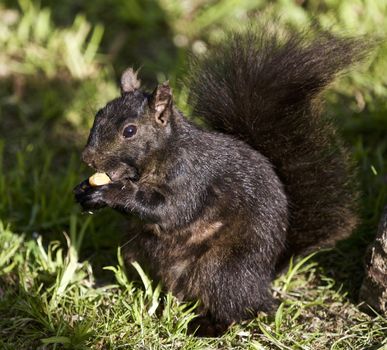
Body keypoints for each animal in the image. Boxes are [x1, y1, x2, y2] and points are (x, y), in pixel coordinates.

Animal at [74, 26, 368, 334]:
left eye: (129, 131)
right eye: (98, 114)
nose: (88, 158)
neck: (160, 156)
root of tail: (263, 279)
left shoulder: (192, 178)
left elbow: (170, 210)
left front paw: (112, 192)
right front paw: (85, 190)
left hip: (222, 269)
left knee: (239, 309)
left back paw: (206, 327)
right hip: (136, 250)